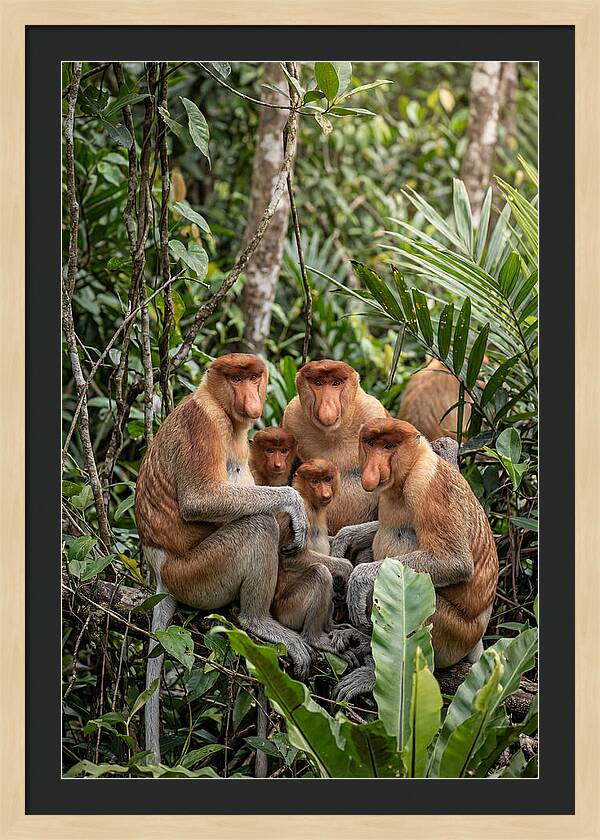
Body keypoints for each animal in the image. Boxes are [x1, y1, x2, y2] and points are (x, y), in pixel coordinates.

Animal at [135, 353, 312, 763]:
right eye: (235, 378)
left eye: (254, 377)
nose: (251, 399)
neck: (218, 404)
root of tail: (160, 571)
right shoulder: (204, 425)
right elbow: (201, 500)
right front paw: (294, 505)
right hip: (197, 573)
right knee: (257, 526)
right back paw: (256, 620)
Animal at [272, 459, 367, 664]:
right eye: (315, 482)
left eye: (327, 479)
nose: (325, 493)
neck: (310, 501)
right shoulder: (301, 513)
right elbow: (292, 558)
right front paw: (347, 567)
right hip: (289, 610)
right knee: (321, 573)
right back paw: (315, 638)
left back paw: (333, 627)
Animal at [282, 359, 388, 535]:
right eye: (318, 383)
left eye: (336, 383)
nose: (327, 409)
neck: (332, 434)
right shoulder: (291, 417)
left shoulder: (373, 411)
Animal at [331, 419, 498, 702]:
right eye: (371, 444)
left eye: (389, 446)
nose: (372, 469)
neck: (409, 470)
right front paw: (345, 538)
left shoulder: (428, 487)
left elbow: (454, 561)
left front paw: (359, 579)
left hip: (453, 634)